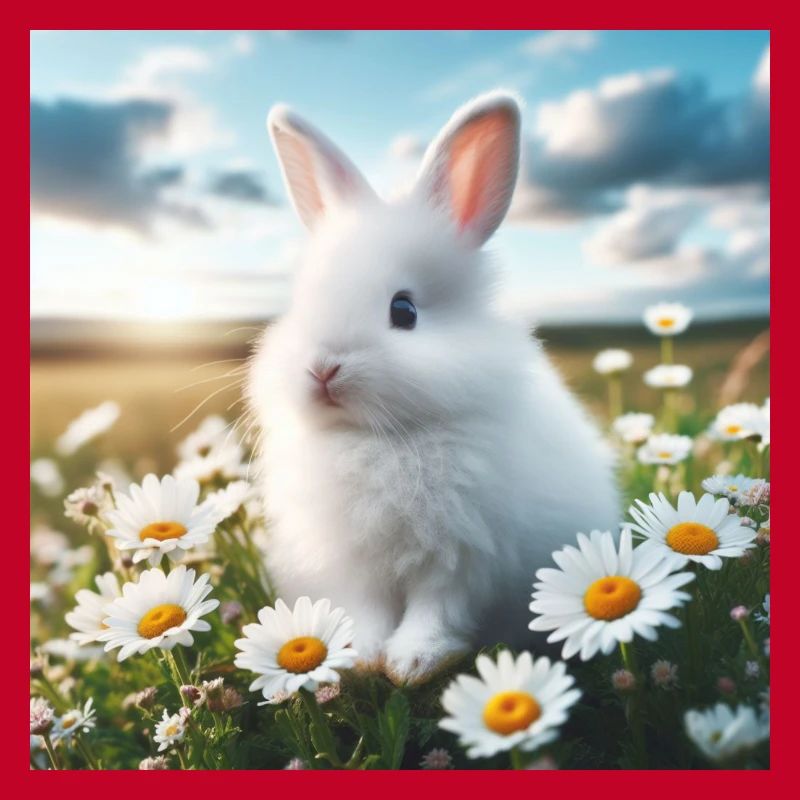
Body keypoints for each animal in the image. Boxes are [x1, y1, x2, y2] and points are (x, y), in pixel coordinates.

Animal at [247, 90, 620, 685]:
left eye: (404, 311)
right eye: (301, 304)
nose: (322, 369)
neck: (376, 440)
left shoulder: (462, 557)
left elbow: (435, 611)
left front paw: (413, 663)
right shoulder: (354, 565)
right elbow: (368, 611)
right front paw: (357, 658)